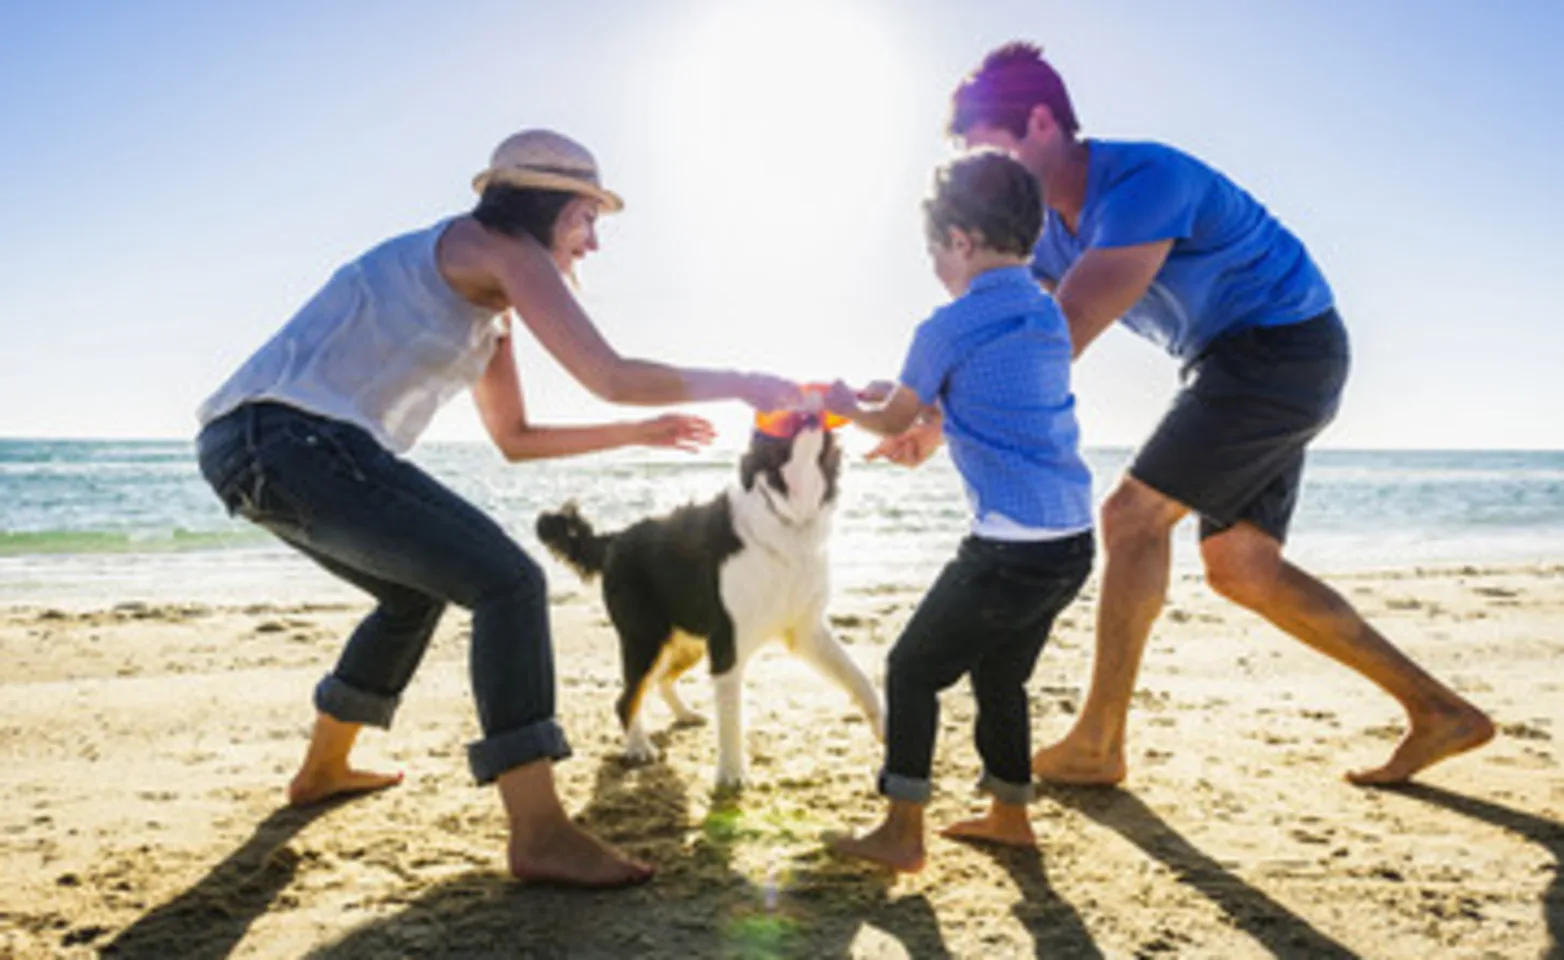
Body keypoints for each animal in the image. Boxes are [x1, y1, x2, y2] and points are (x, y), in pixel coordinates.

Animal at [534, 415, 882, 791]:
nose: (810, 413)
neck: (791, 517)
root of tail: (615, 538)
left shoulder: (806, 631)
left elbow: (860, 679)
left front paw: (885, 730)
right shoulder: (728, 644)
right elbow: (731, 718)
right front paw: (731, 774)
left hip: (688, 641)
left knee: (661, 681)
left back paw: (684, 714)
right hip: (646, 641)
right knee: (626, 698)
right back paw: (639, 747)